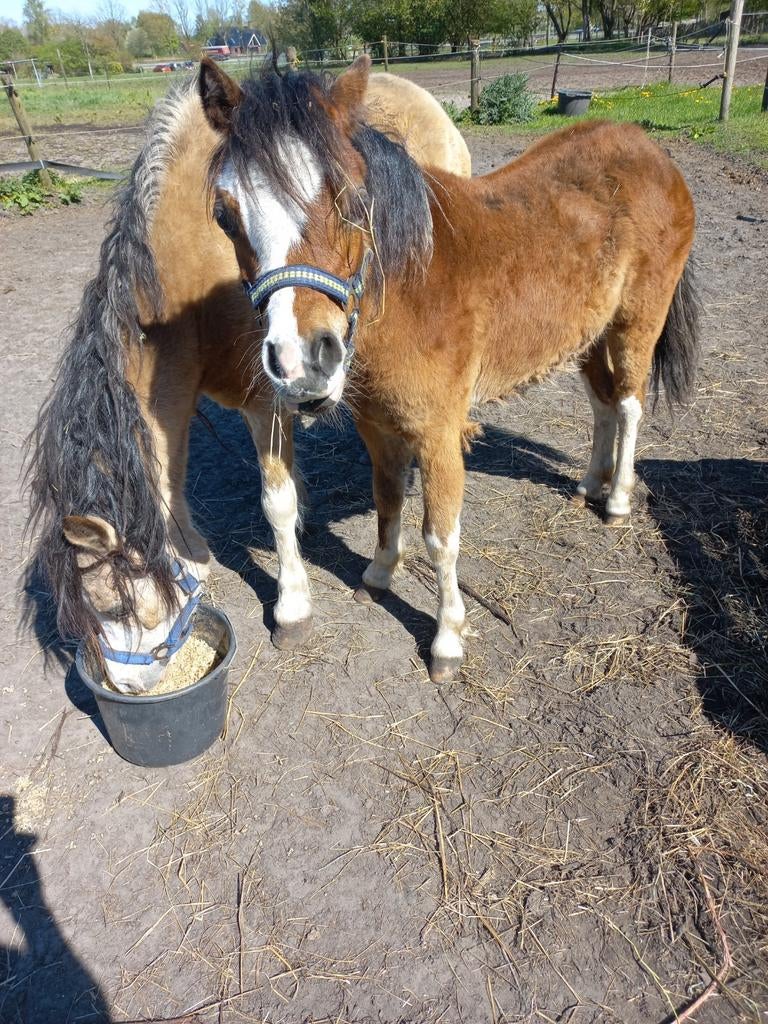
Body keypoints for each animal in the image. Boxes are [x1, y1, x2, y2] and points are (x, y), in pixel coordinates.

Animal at [27, 71, 471, 693]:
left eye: (113, 606)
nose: (126, 688)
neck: (192, 264)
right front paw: (196, 553)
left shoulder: (268, 401)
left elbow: (275, 503)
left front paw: (292, 607)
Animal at [198, 55, 699, 684]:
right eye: (224, 214)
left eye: (351, 199)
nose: (301, 363)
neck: (409, 287)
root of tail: (652, 152)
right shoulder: (378, 427)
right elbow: (388, 499)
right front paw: (378, 576)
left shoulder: (438, 434)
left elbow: (441, 537)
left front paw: (447, 641)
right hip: (589, 335)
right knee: (603, 404)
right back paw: (589, 484)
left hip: (638, 321)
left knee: (630, 406)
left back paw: (616, 501)